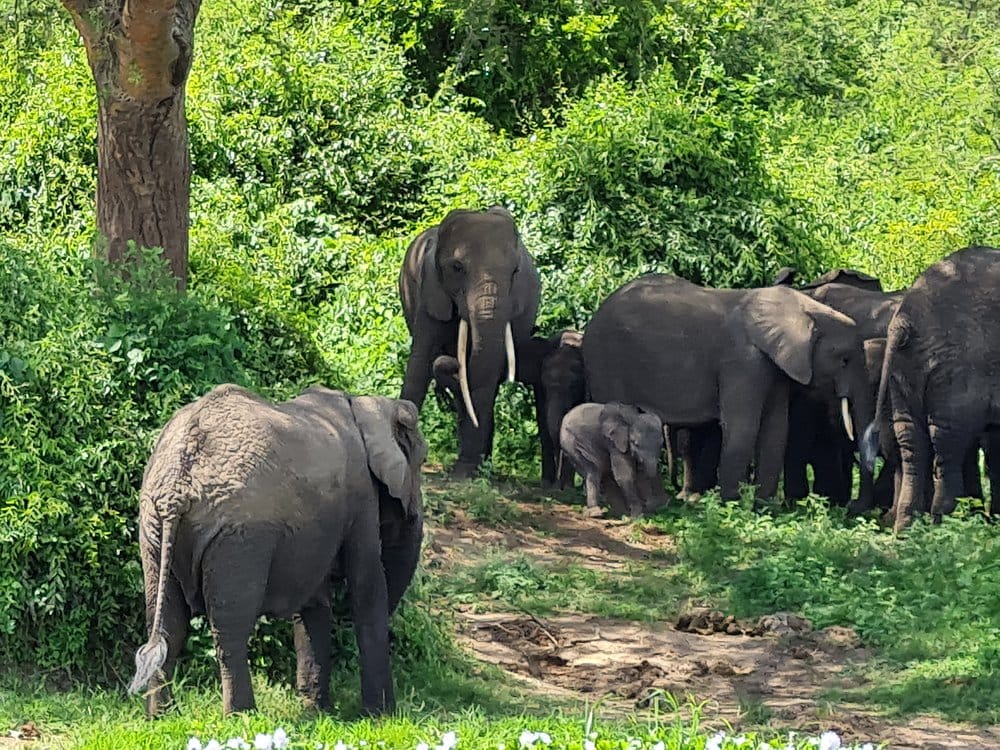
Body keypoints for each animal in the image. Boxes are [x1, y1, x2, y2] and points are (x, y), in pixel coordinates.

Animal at [128, 384, 427, 717]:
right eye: (421, 462)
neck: (362, 405)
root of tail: (177, 485)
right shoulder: (361, 494)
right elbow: (367, 586)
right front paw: (381, 716)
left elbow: (315, 602)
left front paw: (317, 712)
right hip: (240, 537)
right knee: (230, 629)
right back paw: (241, 716)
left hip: (153, 529)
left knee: (168, 623)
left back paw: (161, 717)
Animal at [399, 207, 540, 478]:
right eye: (457, 268)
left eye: (515, 272)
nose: (449, 361)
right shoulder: (430, 291)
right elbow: (420, 362)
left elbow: (486, 376)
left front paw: (467, 471)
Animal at [583, 274, 873, 501]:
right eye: (844, 360)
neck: (803, 308)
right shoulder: (743, 361)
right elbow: (744, 427)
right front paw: (731, 505)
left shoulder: (775, 364)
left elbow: (776, 428)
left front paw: (763, 509)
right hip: (605, 361)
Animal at [861, 246, 1000, 532]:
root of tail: (904, 321)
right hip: (953, 370)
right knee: (945, 443)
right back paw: (945, 524)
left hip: (904, 370)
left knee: (911, 440)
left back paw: (907, 529)